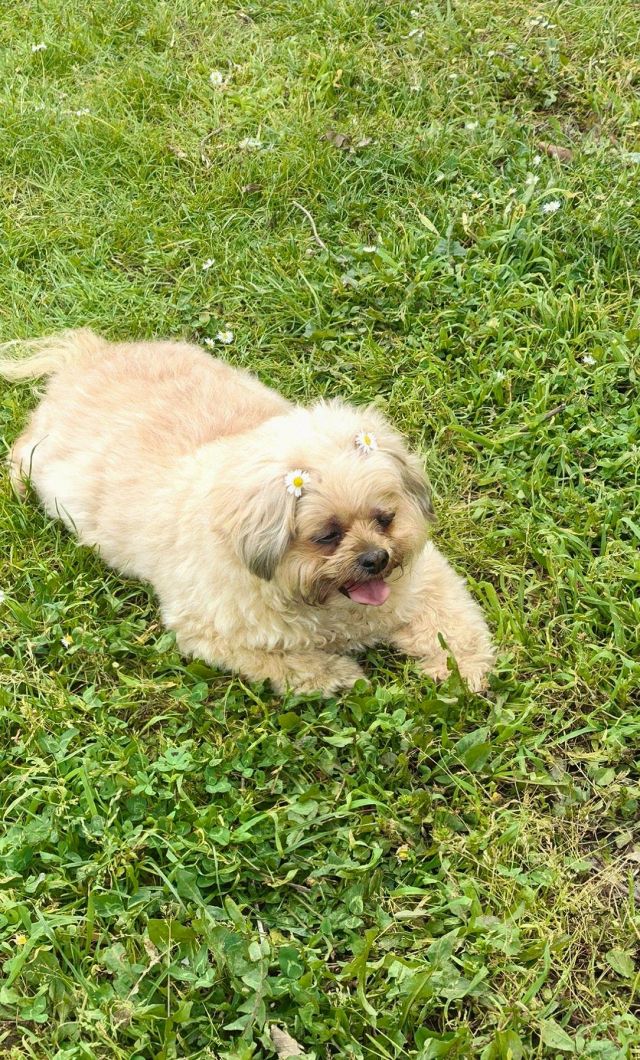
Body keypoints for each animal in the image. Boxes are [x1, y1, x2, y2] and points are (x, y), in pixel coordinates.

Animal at [1, 330, 494, 694]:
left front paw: (464, 669)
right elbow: (293, 663)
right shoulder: (214, 635)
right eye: (327, 535)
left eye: (385, 518)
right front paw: (340, 675)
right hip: (44, 466)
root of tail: (90, 354)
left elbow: (455, 626)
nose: (376, 558)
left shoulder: (427, 580)